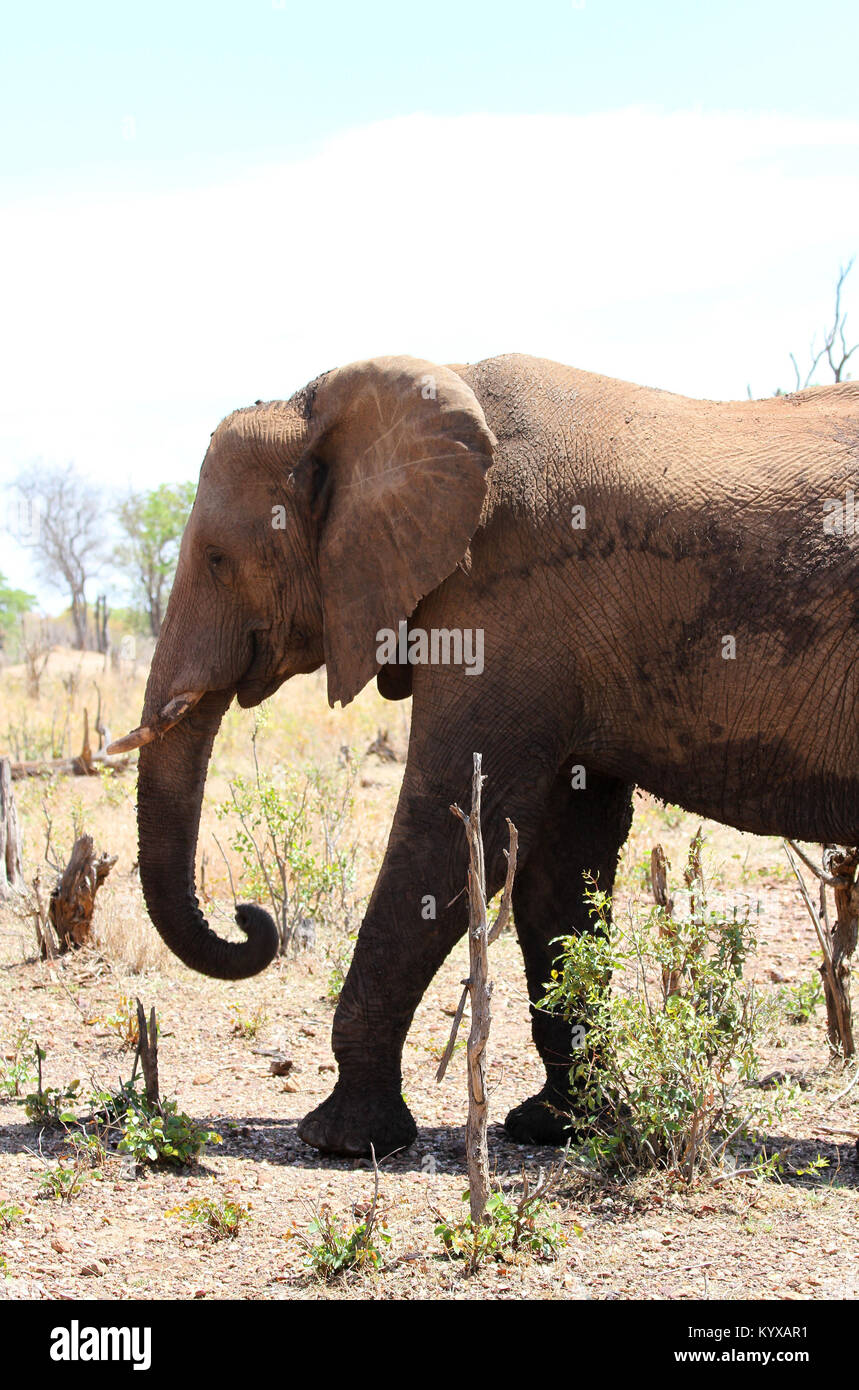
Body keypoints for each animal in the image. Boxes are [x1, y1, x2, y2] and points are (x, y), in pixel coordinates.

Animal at [110, 353, 856, 1156]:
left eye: (218, 559)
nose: (250, 918)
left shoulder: (508, 598)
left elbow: (452, 830)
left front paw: (340, 1139)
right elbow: (558, 860)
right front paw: (556, 1127)